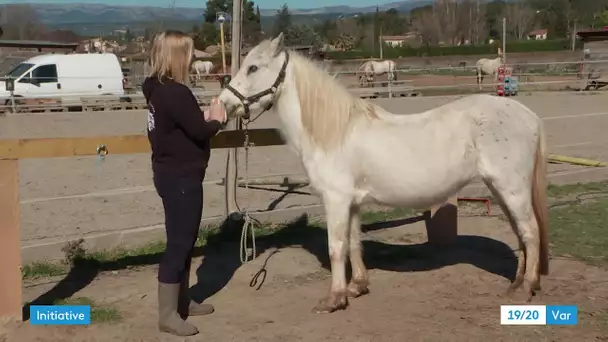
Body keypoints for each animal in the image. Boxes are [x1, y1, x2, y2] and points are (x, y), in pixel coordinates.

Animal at [220, 33, 552, 314]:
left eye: (253, 67)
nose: (224, 104)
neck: (334, 131)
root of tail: (529, 116)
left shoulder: (336, 200)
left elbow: (336, 247)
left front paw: (334, 299)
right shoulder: (353, 202)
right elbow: (354, 242)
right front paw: (357, 287)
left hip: (511, 188)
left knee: (530, 232)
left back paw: (527, 290)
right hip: (501, 189)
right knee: (520, 233)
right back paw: (517, 285)